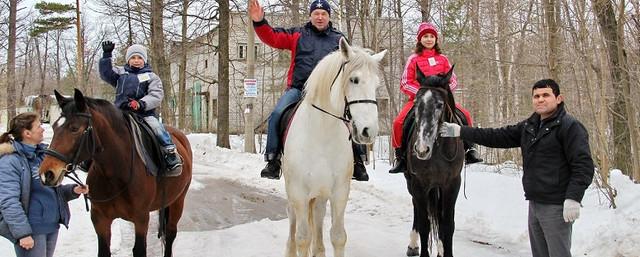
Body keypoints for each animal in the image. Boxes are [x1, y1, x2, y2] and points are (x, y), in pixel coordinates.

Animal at [37, 88, 191, 256]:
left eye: (74, 128)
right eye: (54, 127)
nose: (47, 173)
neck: (115, 172)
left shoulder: (141, 218)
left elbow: (139, 249)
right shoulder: (100, 219)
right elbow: (104, 250)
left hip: (178, 201)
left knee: (170, 234)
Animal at [282, 37, 384, 256]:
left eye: (376, 84)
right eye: (354, 80)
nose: (369, 131)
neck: (322, 133)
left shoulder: (339, 192)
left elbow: (338, 237)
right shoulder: (299, 193)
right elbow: (302, 239)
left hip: (320, 195)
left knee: (318, 224)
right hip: (293, 195)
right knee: (293, 229)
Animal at [402, 66, 462, 256]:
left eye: (440, 104)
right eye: (416, 104)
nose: (422, 149)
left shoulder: (452, 185)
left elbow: (447, 225)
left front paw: (445, 252)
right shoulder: (419, 184)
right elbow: (425, 225)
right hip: (411, 183)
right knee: (417, 208)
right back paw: (413, 245)